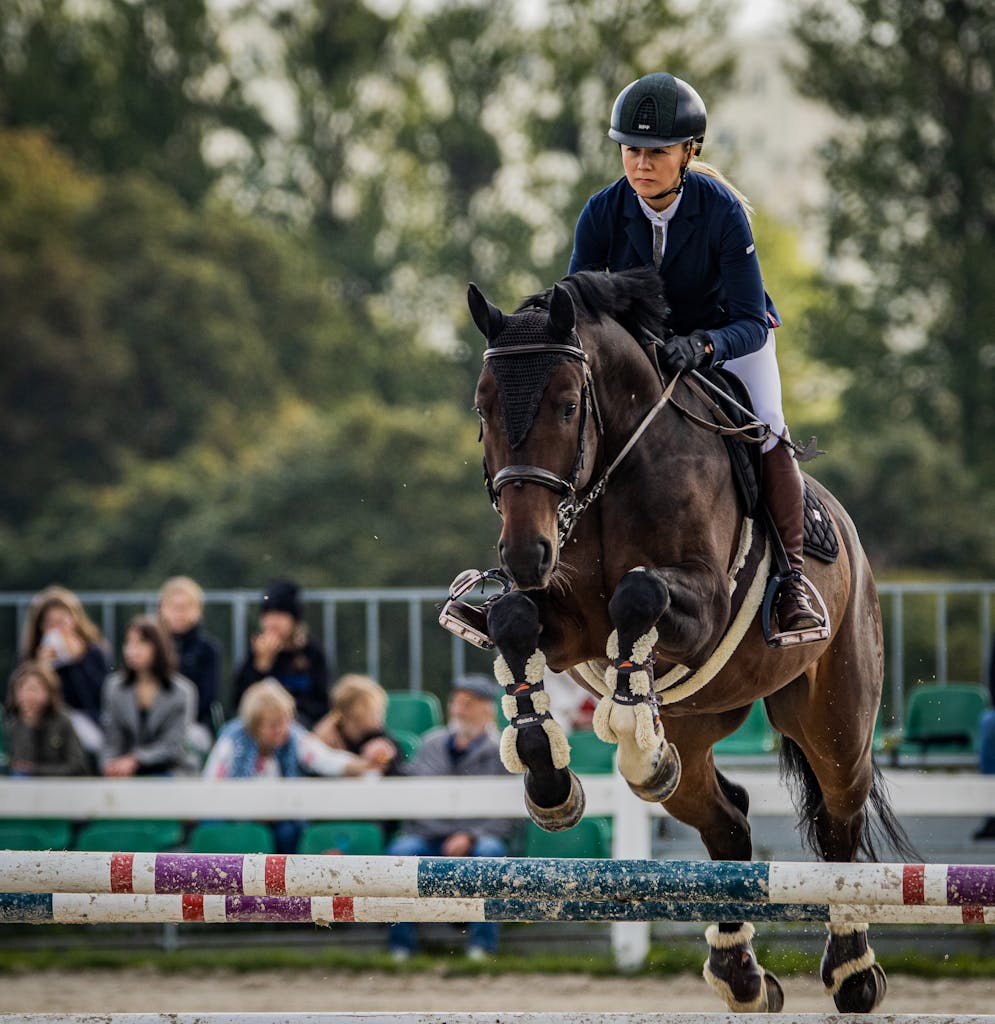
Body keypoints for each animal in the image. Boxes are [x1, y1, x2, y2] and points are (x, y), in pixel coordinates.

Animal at [450, 264, 917, 1015]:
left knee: (839, 818)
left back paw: (851, 970)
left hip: (835, 716)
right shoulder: (568, 622)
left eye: (566, 406)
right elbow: (514, 622)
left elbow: (639, 595)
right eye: (482, 408)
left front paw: (627, 725)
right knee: (724, 819)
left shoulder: (703, 606)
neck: (610, 476)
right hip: (701, 724)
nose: (523, 552)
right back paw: (739, 970)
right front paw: (551, 781)